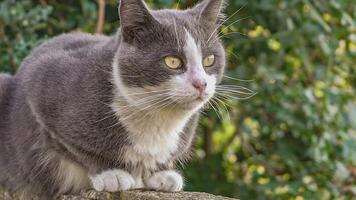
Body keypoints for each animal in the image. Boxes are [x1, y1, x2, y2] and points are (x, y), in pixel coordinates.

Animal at [0, 0, 227, 198]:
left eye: (209, 60)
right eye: (172, 61)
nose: (201, 84)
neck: (157, 120)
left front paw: (163, 174)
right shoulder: (42, 84)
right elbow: (77, 148)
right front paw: (112, 174)